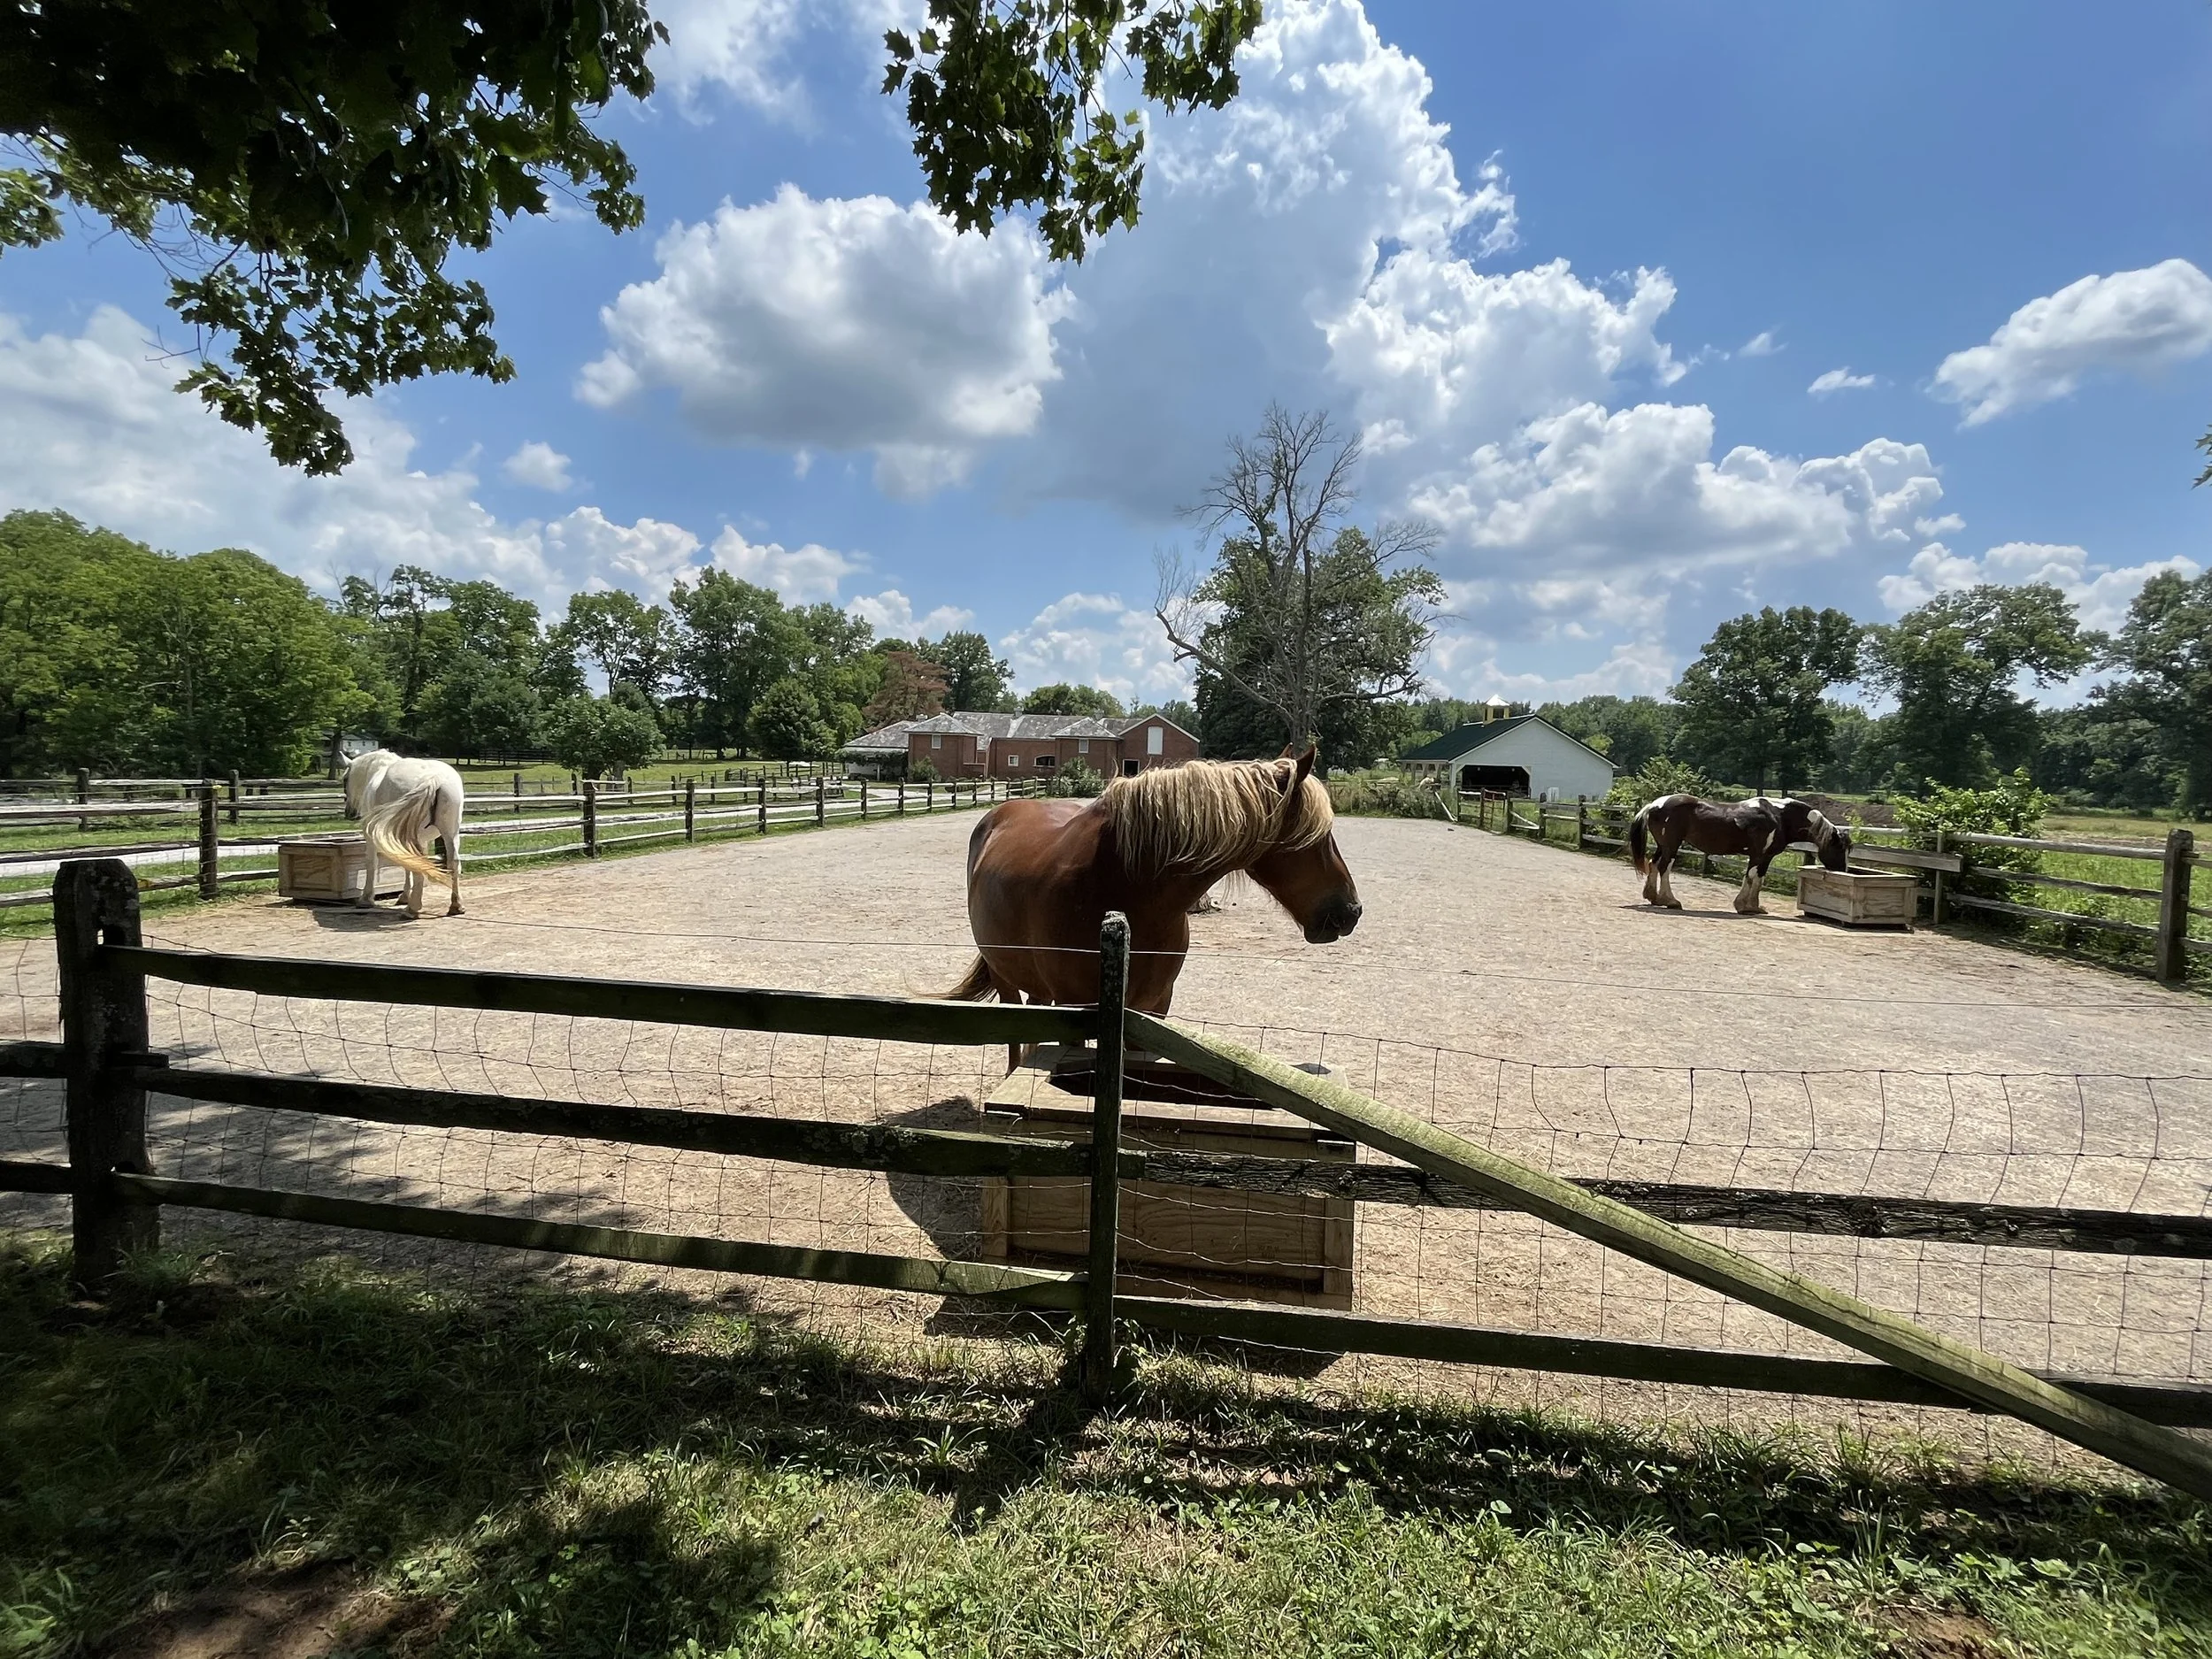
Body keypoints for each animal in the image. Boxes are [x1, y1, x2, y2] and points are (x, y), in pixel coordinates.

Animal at [342, 749, 466, 917]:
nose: (350, 813)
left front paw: (366, 900)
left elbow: (372, 863)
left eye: (345, 779)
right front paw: (405, 896)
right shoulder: (422, 840)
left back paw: (412, 909)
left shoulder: (371, 837)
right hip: (450, 834)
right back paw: (456, 905)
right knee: (453, 863)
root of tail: (432, 778)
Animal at [946, 750, 1361, 1032]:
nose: (1351, 911)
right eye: (1320, 836)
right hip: (1005, 977)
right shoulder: (1076, 1008)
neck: (1128, 890)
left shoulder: (1154, 1008)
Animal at [1628, 793, 1849, 914]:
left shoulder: (1766, 857)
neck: (1779, 816)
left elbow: (1759, 879)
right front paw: (1743, 906)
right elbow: (1750, 877)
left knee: (1653, 863)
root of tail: (1654, 804)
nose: (1843, 871)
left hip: (1663, 846)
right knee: (1664, 867)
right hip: (1672, 846)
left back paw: (1654, 897)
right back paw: (1670, 901)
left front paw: (1755, 907)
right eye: (1839, 848)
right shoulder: (1758, 855)